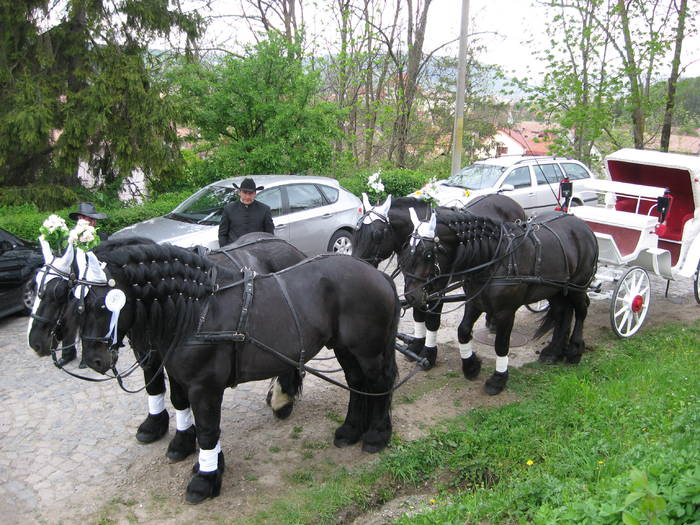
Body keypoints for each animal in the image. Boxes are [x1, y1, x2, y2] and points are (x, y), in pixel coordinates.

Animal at [75, 246, 400, 504]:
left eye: (102, 304)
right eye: (78, 304)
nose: (93, 358)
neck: (198, 309)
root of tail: (376, 274)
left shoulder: (204, 387)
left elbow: (208, 430)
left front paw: (204, 481)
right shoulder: (183, 381)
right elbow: (196, 421)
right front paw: (209, 466)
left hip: (367, 350)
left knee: (379, 383)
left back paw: (377, 434)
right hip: (345, 347)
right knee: (357, 383)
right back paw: (351, 430)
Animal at [352, 194, 528, 366]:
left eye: (377, 235)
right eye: (356, 232)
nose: (357, 267)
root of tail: (511, 202)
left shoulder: (437, 286)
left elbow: (432, 321)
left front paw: (429, 354)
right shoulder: (417, 286)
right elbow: (418, 313)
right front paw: (416, 346)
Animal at [400, 209, 596, 392]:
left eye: (427, 254)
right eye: (406, 250)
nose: (410, 296)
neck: (495, 258)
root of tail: (583, 226)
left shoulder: (505, 312)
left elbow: (501, 344)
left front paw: (498, 379)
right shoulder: (475, 302)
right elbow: (463, 331)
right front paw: (471, 366)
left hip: (577, 287)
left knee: (581, 310)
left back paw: (575, 350)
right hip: (556, 290)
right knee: (562, 312)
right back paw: (553, 352)